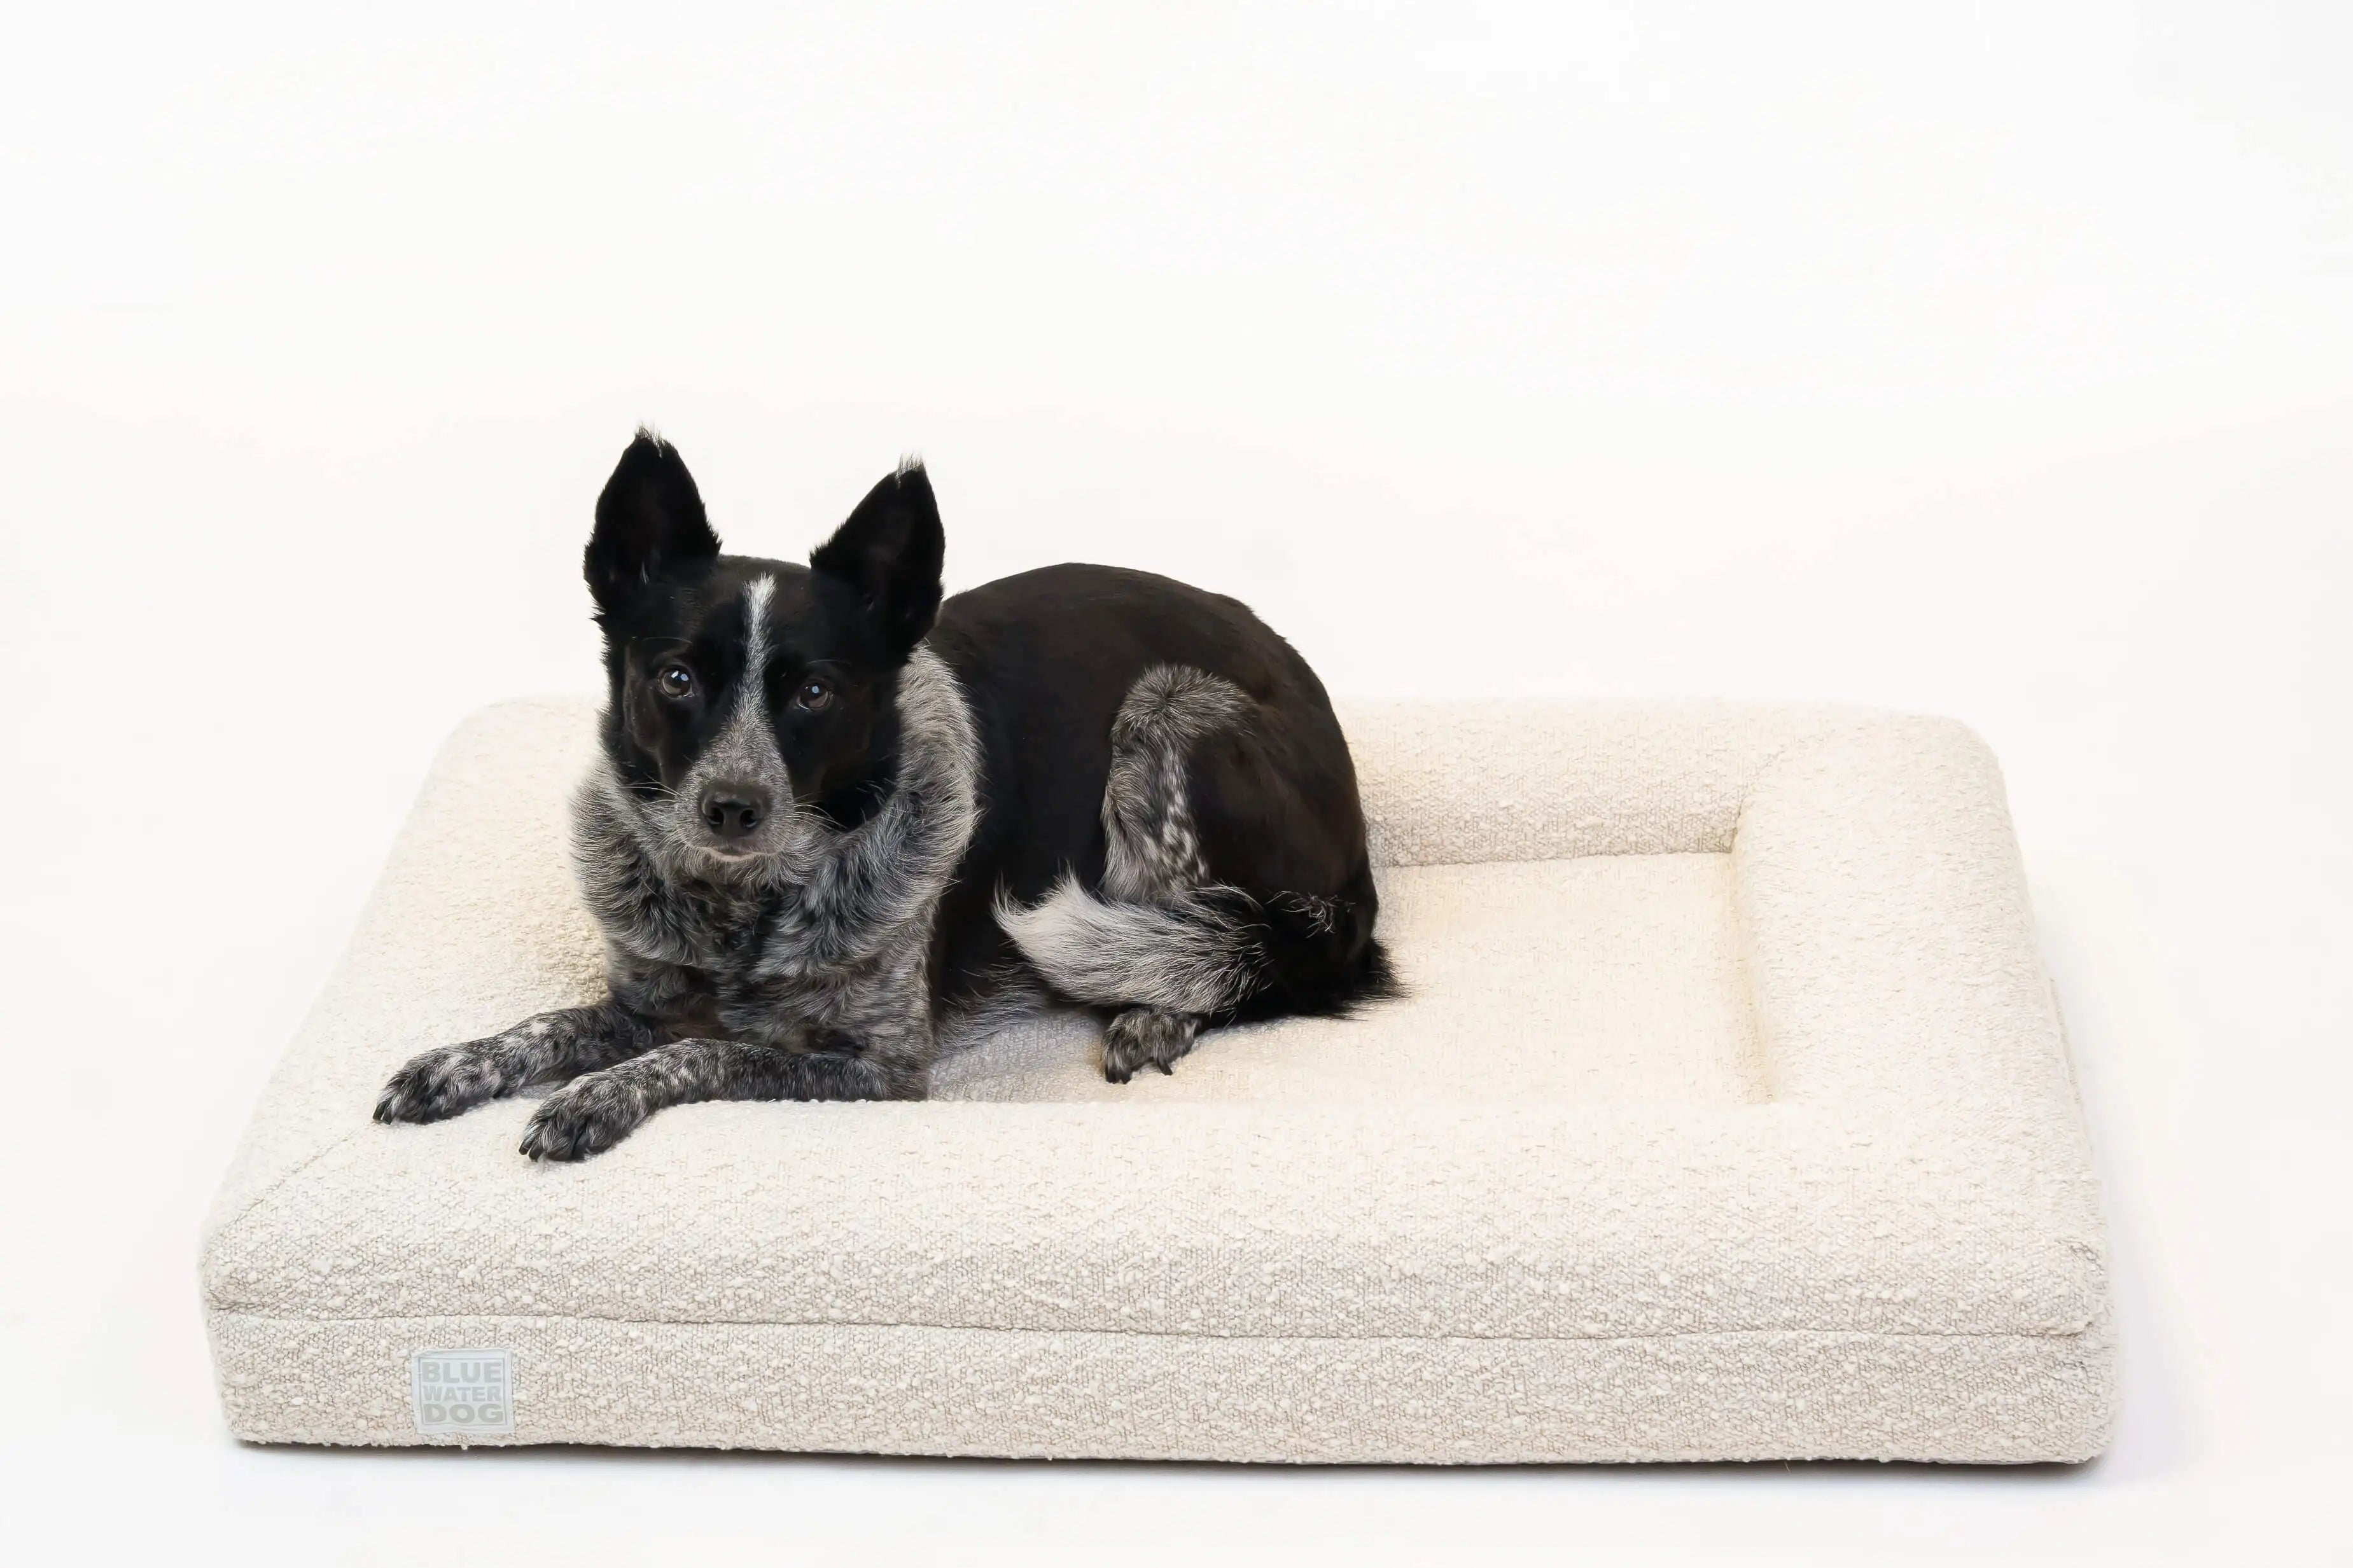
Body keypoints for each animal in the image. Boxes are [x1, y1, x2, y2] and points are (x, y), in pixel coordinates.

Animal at [374, 434, 1383, 1161]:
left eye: (816, 692)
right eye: (675, 678)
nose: (732, 805)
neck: (741, 909)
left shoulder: (880, 1066)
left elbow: (706, 1051)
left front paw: (593, 1096)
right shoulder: (641, 999)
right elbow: (553, 1022)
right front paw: (455, 1063)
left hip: (1163, 710)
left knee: (1220, 949)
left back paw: (1154, 1009)